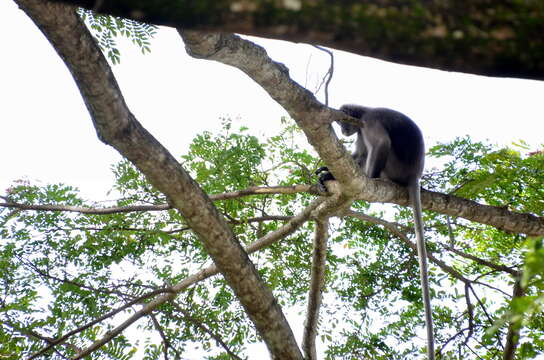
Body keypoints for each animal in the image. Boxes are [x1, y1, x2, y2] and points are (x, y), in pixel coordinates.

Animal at [316, 104, 436, 360]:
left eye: (342, 121)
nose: (343, 129)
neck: (363, 113)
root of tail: (415, 175)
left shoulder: (369, 123)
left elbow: (380, 144)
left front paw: (364, 177)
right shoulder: (360, 132)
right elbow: (357, 155)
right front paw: (327, 171)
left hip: (394, 168)